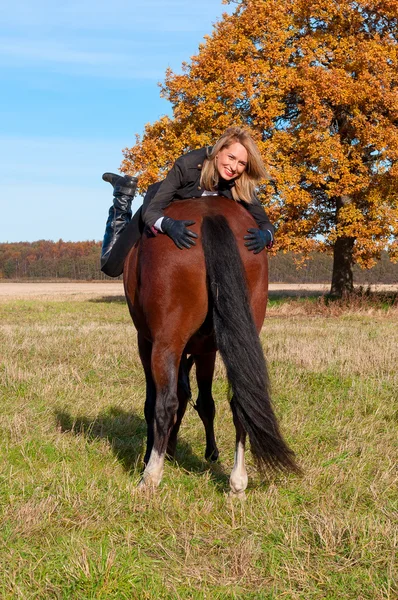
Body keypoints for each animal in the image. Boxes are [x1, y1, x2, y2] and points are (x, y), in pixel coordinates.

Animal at [123, 195, 300, 494]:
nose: (170, 451)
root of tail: (209, 214)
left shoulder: (146, 342)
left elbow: (159, 402)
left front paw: (151, 456)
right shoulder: (207, 351)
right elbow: (204, 402)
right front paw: (210, 452)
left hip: (165, 344)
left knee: (165, 404)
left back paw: (151, 477)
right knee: (241, 400)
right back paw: (238, 480)